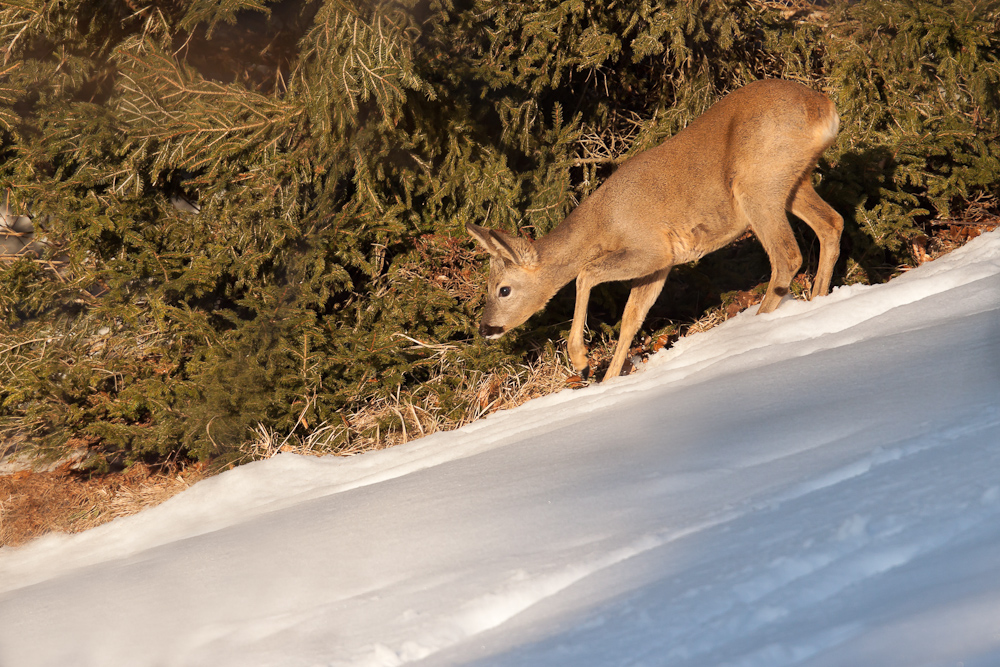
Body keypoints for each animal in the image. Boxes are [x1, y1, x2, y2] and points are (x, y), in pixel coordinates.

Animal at [468, 78, 844, 380]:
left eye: (503, 289)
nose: (485, 328)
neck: (603, 222)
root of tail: (823, 107)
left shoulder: (651, 248)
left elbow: (585, 274)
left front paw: (582, 361)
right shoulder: (661, 265)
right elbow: (631, 318)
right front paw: (609, 381)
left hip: (758, 183)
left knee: (787, 255)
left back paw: (757, 322)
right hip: (793, 180)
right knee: (831, 223)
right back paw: (820, 299)